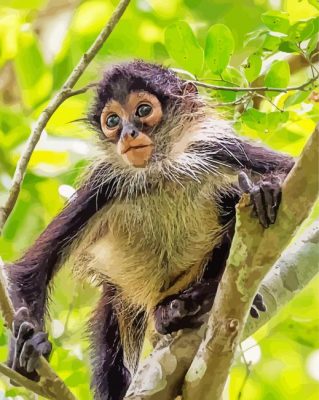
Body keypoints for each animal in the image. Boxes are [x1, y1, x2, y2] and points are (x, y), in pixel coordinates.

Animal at [5, 60, 296, 400]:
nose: (128, 133)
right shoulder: (104, 186)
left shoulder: (213, 148)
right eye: (113, 121)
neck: (159, 172)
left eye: (143, 110)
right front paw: (27, 350)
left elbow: (290, 171)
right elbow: (31, 270)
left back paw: (194, 302)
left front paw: (267, 188)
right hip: (119, 296)